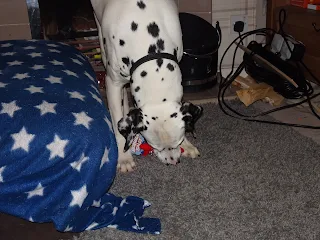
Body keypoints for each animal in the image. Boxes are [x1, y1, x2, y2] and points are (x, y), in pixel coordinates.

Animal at [90, 0, 204, 172]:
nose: (173, 162)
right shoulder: (113, 83)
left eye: (177, 142)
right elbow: (117, 124)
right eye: (155, 146)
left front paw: (187, 145)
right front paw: (123, 157)